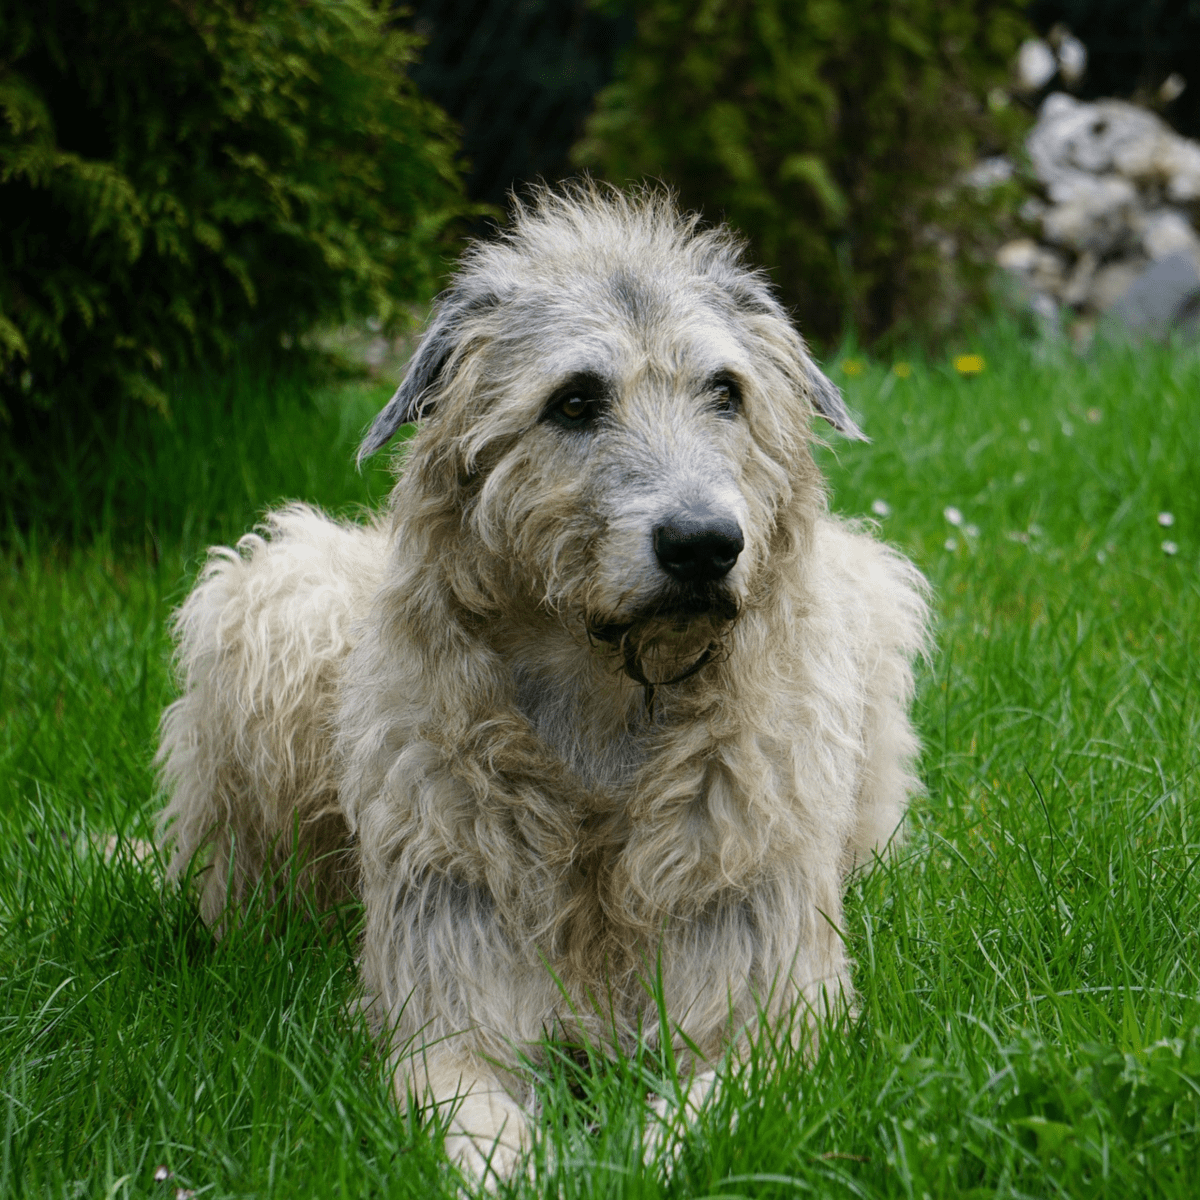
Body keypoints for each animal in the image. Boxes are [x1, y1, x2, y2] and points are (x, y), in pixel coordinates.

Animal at [157, 184, 926, 1180]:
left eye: (726, 391)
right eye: (575, 400)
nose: (705, 545)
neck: (608, 707)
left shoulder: (774, 1009)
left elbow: (703, 1116)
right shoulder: (445, 1005)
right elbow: (471, 1115)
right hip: (270, 602)